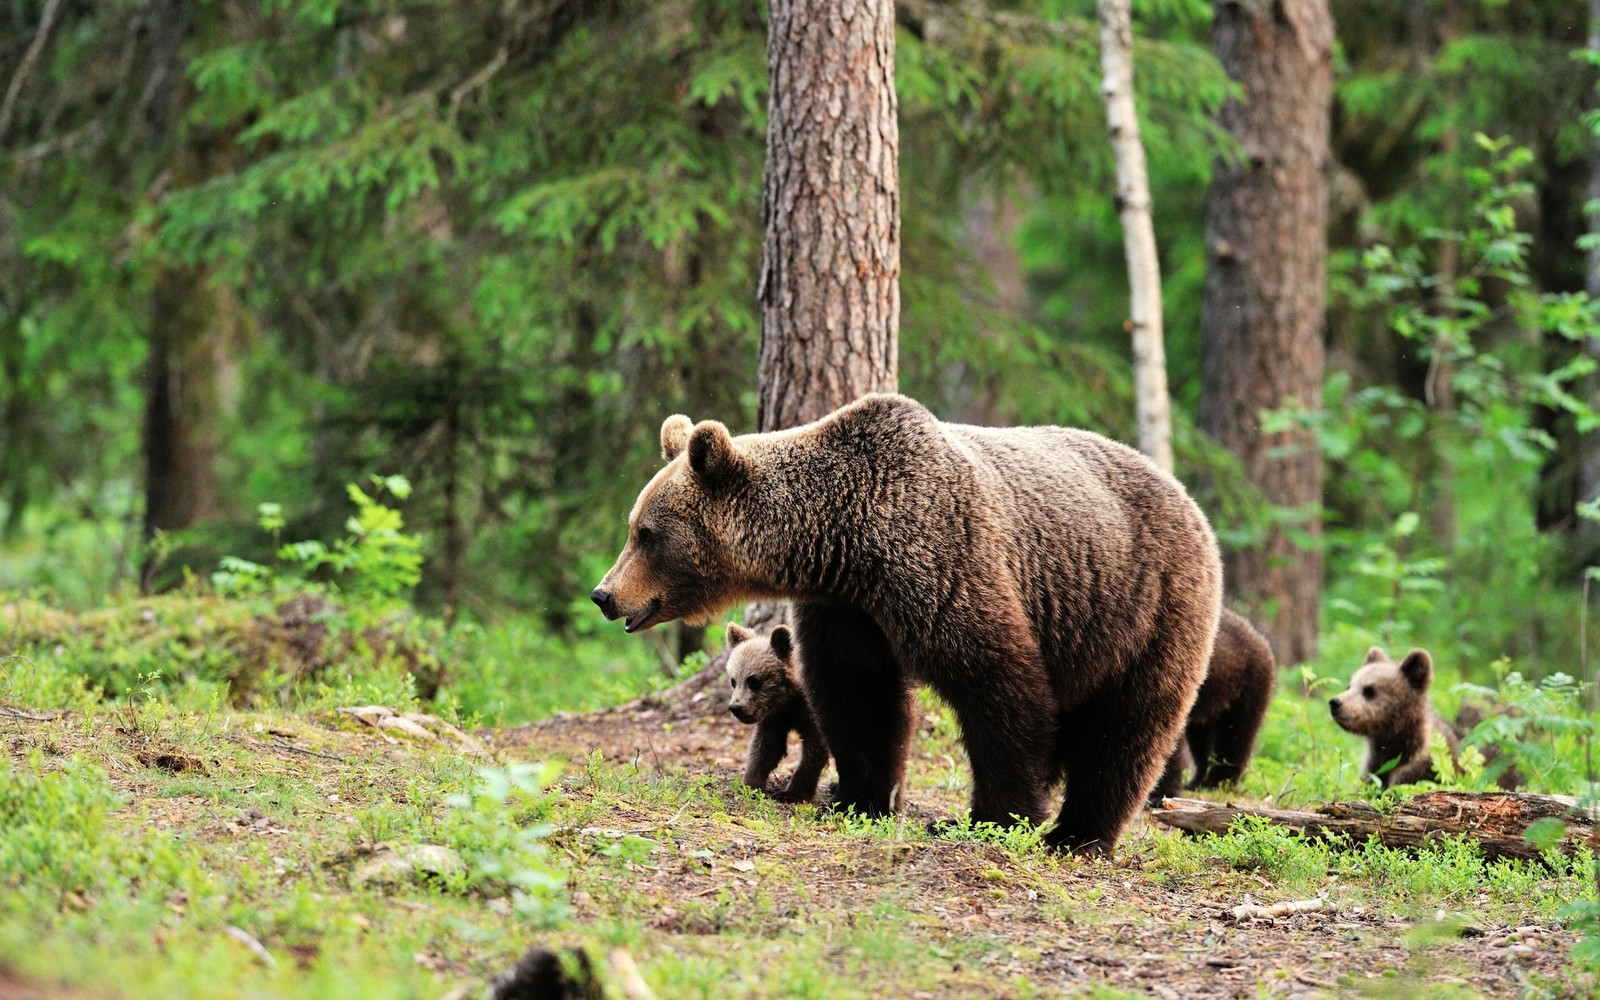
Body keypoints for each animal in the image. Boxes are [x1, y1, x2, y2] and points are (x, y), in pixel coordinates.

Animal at [595, 393, 1216, 851]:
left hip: (1143, 606)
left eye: (646, 534)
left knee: (1124, 730)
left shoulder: (945, 560)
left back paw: (1078, 835)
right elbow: (858, 694)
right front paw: (858, 798)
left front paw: (991, 817)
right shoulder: (846, 608)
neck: (847, 543)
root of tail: (1189, 499)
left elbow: (997, 684)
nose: (604, 594)